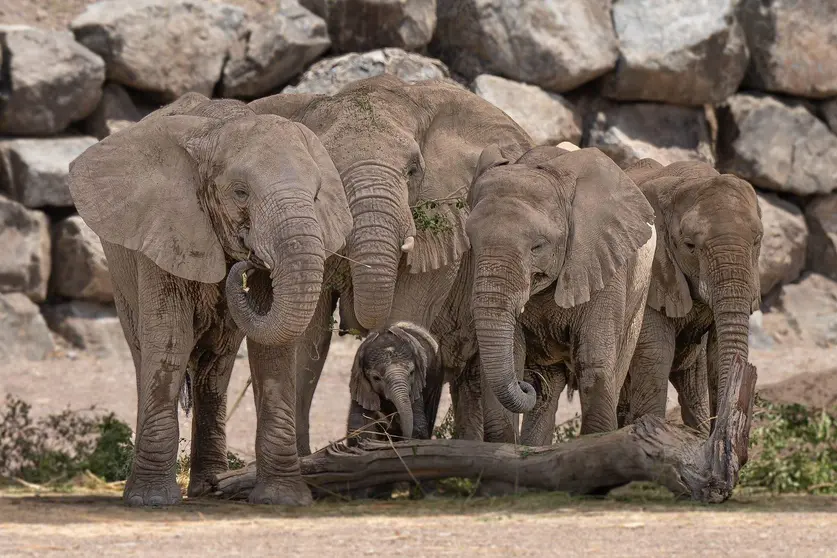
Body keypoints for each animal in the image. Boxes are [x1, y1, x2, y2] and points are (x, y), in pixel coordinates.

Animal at [66, 93, 352, 508]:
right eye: (240, 192)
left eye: (315, 195)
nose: (247, 263)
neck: (217, 130)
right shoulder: (164, 229)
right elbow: (170, 340)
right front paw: (152, 501)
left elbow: (272, 352)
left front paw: (283, 500)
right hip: (121, 277)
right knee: (145, 354)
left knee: (215, 368)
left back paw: (210, 487)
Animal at [432, 147, 660, 444]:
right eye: (472, 241)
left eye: (538, 246)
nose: (524, 385)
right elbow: (511, 356)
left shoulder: (607, 267)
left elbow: (595, 365)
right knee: (547, 390)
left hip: (639, 297)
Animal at [616, 159, 760, 438]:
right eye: (690, 246)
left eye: (757, 241)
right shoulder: (651, 271)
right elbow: (656, 353)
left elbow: (717, 352)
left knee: (694, 384)